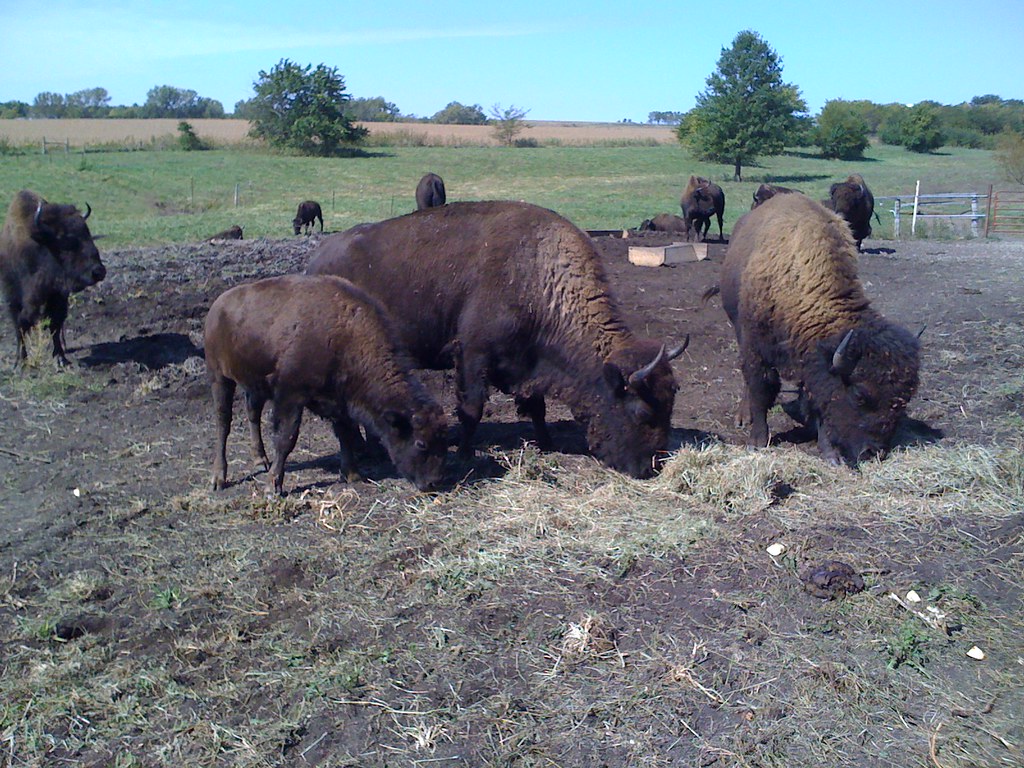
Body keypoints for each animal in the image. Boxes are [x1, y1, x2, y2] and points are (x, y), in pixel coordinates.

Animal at [0, 190, 106, 367]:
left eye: (88, 233)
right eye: (66, 239)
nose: (98, 271)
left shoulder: (58, 296)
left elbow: (55, 324)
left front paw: (61, 358)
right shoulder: (14, 297)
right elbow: (21, 325)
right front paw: (21, 361)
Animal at [204, 274, 448, 494]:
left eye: (442, 440)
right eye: (421, 443)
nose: (434, 483)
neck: (346, 336)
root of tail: (217, 307)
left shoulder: (339, 400)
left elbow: (345, 432)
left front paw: (352, 474)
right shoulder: (290, 396)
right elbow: (286, 439)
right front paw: (273, 487)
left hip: (254, 385)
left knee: (252, 414)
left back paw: (260, 460)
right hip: (219, 377)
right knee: (223, 423)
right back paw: (219, 478)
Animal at [306, 200, 686, 478]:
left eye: (671, 403)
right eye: (642, 412)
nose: (649, 468)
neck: (538, 276)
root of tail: (317, 260)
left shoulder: (528, 364)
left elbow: (536, 405)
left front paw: (546, 443)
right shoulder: (473, 356)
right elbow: (471, 409)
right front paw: (464, 452)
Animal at [716, 193, 919, 466]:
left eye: (903, 401)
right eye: (859, 395)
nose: (873, 453)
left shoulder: (812, 363)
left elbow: (817, 399)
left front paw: (831, 454)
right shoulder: (756, 348)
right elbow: (761, 388)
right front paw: (757, 442)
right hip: (738, 328)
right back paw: (743, 416)